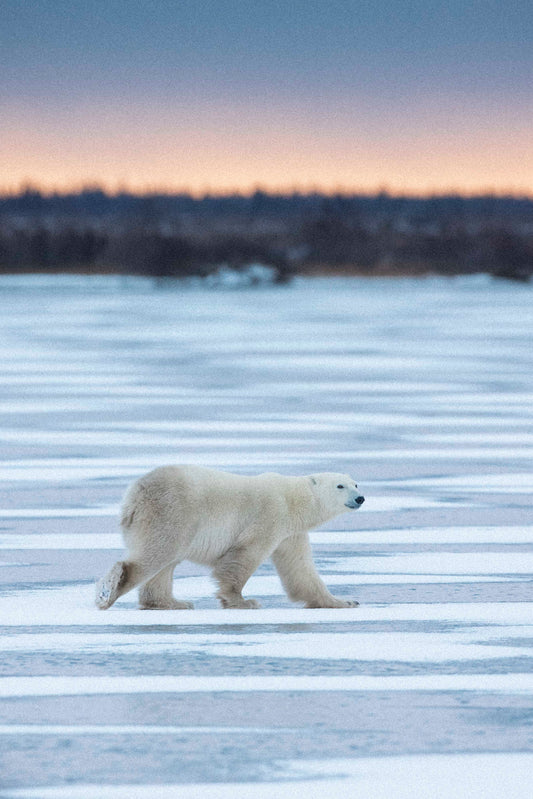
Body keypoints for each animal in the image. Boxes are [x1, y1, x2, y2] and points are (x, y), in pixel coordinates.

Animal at [94, 466, 362, 608]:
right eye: (340, 486)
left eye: (356, 483)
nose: (360, 498)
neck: (293, 500)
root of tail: (135, 493)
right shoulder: (269, 516)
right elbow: (244, 556)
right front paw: (243, 600)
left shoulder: (291, 533)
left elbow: (301, 570)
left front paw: (343, 602)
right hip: (172, 513)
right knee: (156, 554)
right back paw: (108, 592)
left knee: (164, 564)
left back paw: (173, 602)